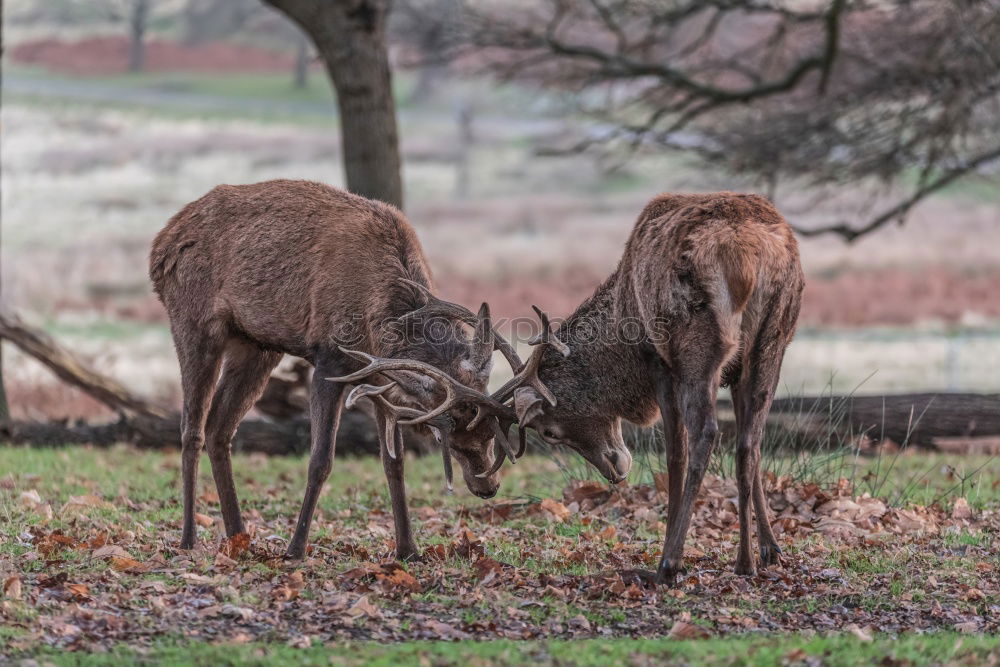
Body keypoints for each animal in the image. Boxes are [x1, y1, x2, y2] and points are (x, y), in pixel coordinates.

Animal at [147, 180, 564, 560]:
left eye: (492, 434)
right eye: (451, 441)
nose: (488, 487)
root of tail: (161, 243)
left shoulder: (382, 379)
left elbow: (393, 463)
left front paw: (409, 550)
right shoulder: (329, 359)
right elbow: (320, 460)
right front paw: (295, 549)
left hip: (256, 344)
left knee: (220, 428)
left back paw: (238, 538)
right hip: (193, 321)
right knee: (191, 429)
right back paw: (189, 539)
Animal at [508, 193, 804, 584]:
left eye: (549, 431)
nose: (615, 471)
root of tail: (750, 258)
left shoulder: (658, 361)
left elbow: (674, 453)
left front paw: (670, 548)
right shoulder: (737, 371)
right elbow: (748, 449)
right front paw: (771, 549)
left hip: (698, 344)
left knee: (705, 434)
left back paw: (669, 562)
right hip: (773, 340)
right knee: (749, 443)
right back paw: (745, 561)